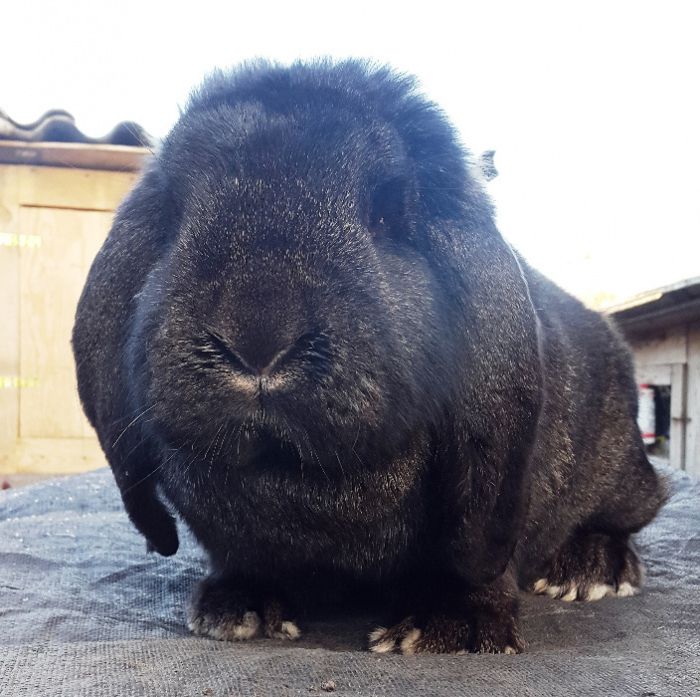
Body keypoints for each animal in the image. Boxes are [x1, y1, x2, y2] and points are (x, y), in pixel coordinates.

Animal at [71, 59, 668, 652]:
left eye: (385, 215)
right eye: (175, 214)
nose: (256, 341)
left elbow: (480, 564)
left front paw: (451, 627)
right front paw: (238, 608)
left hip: (617, 471)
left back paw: (588, 570)